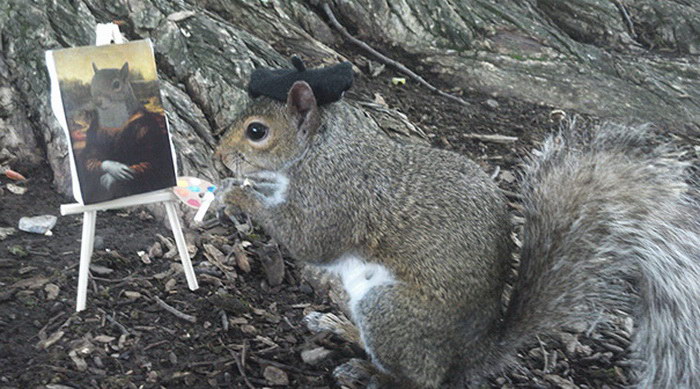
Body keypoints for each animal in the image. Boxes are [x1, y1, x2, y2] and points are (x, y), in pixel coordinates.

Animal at [216, 80, 696, 386]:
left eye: (257, 131)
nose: (220, 155)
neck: (318, 149)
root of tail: (469, 356)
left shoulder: (334, 199)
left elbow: (307, 241)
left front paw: (235, 195)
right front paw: (239, 187)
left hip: (390, 309)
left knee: (419, 381)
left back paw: (370, 373)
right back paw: (340, 327)